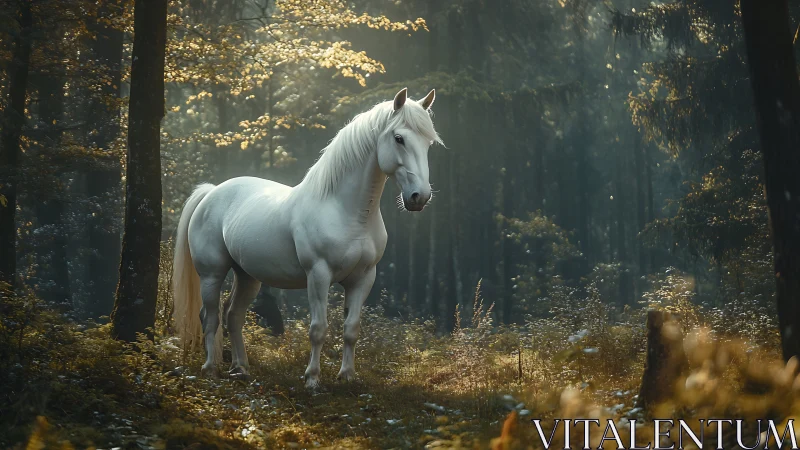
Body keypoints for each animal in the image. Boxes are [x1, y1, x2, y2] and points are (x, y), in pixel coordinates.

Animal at [172, 88, 442, 388]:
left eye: (428, 143)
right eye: (399, 138)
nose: (419, 197)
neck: (346, 211)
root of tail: (211, 192)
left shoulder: (363, 278)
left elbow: (351, 329)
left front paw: (347, 376)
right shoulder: (319, 275)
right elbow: (318, 329)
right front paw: (312, 379)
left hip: (248, 276)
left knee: (233, 316)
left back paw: (241, 368)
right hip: (212, 274)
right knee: (210, 318)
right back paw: (210, 369)